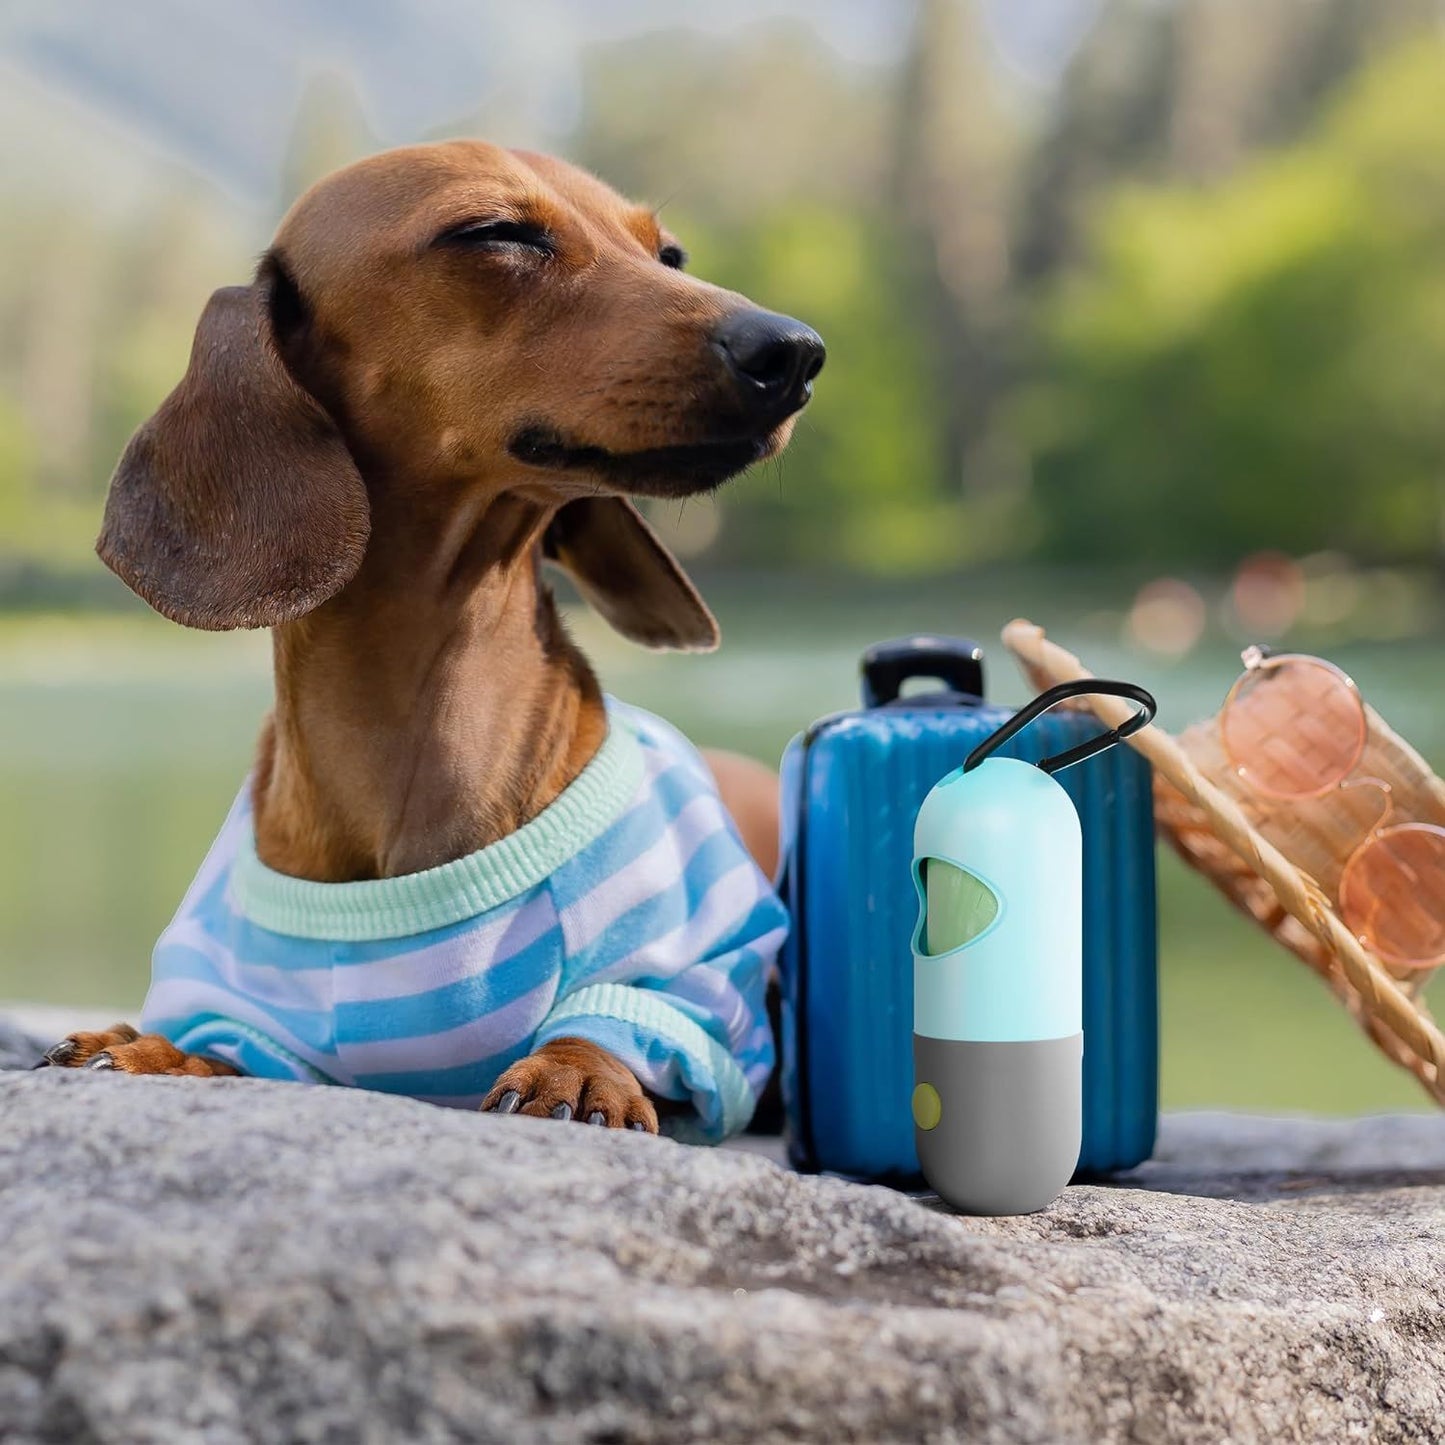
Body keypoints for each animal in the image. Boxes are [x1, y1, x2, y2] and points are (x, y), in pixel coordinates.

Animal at [36, 143, 826, 1138]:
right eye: (495, 232)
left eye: (669, 253)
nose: (794, 350)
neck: (420, 725)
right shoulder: (245, 996)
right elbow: (222, 1038)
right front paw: (158, 1048)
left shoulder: (692, 966)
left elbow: (620, 1010)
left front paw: (580, 1071)